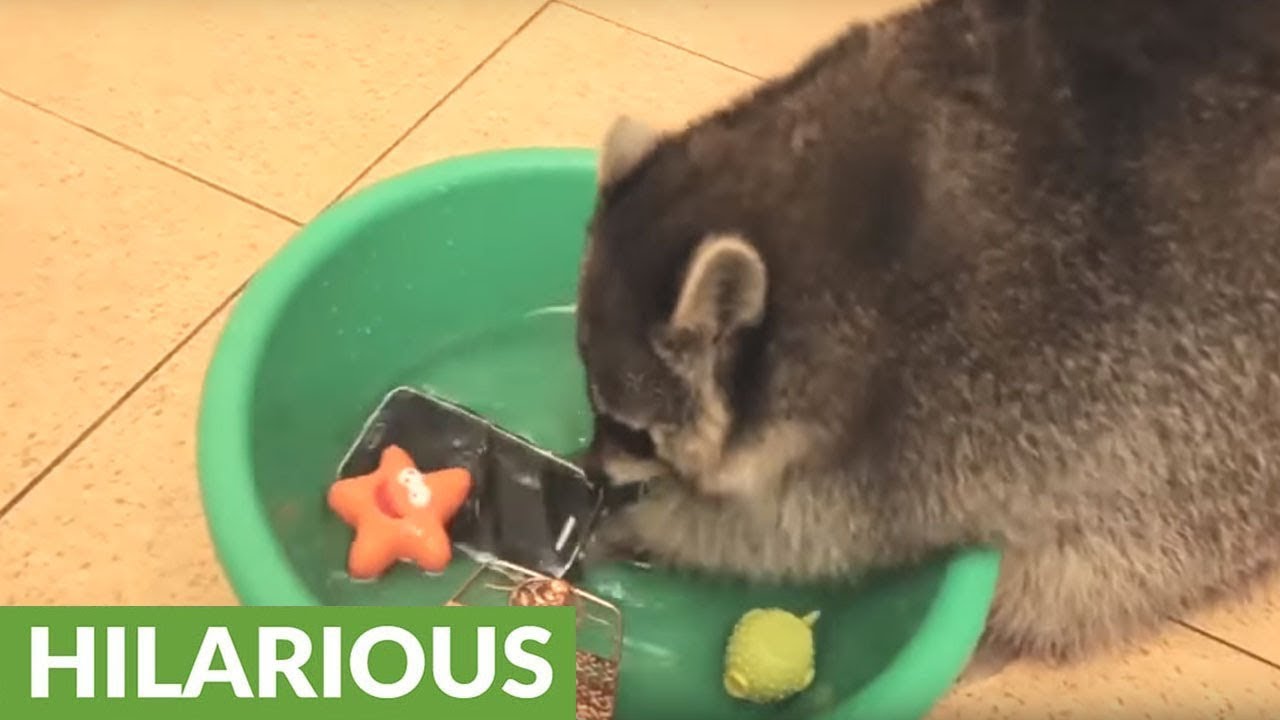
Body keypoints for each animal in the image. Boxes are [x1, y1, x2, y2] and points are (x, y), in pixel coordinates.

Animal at [574, 0, 1280, 671]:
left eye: (634, 432)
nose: (592, 476)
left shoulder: (922, 419)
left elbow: (794, 536)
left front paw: (654, 526)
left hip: (1204, 443)